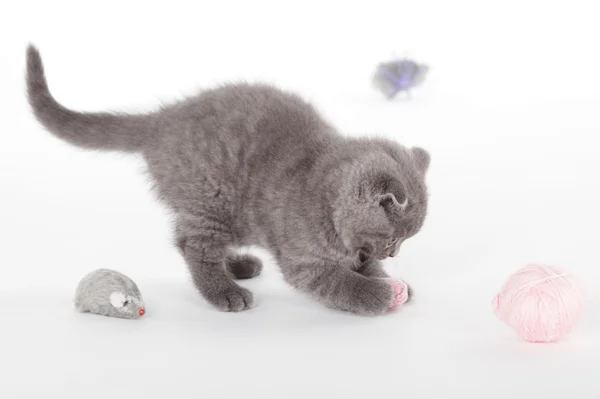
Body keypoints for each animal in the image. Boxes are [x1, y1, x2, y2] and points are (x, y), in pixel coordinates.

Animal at [25, 46, 428, 316]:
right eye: (393, 238)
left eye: (403, 241)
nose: (394, 254)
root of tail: (161, 120)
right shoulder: (304, 261)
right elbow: (340, 282)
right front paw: (378, 294)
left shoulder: (355, 250)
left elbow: (364, 267)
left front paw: (391, 281)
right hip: (210, 200)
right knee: (194, 245)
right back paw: (224, 290)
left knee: (185, 238)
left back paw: (238, 266)